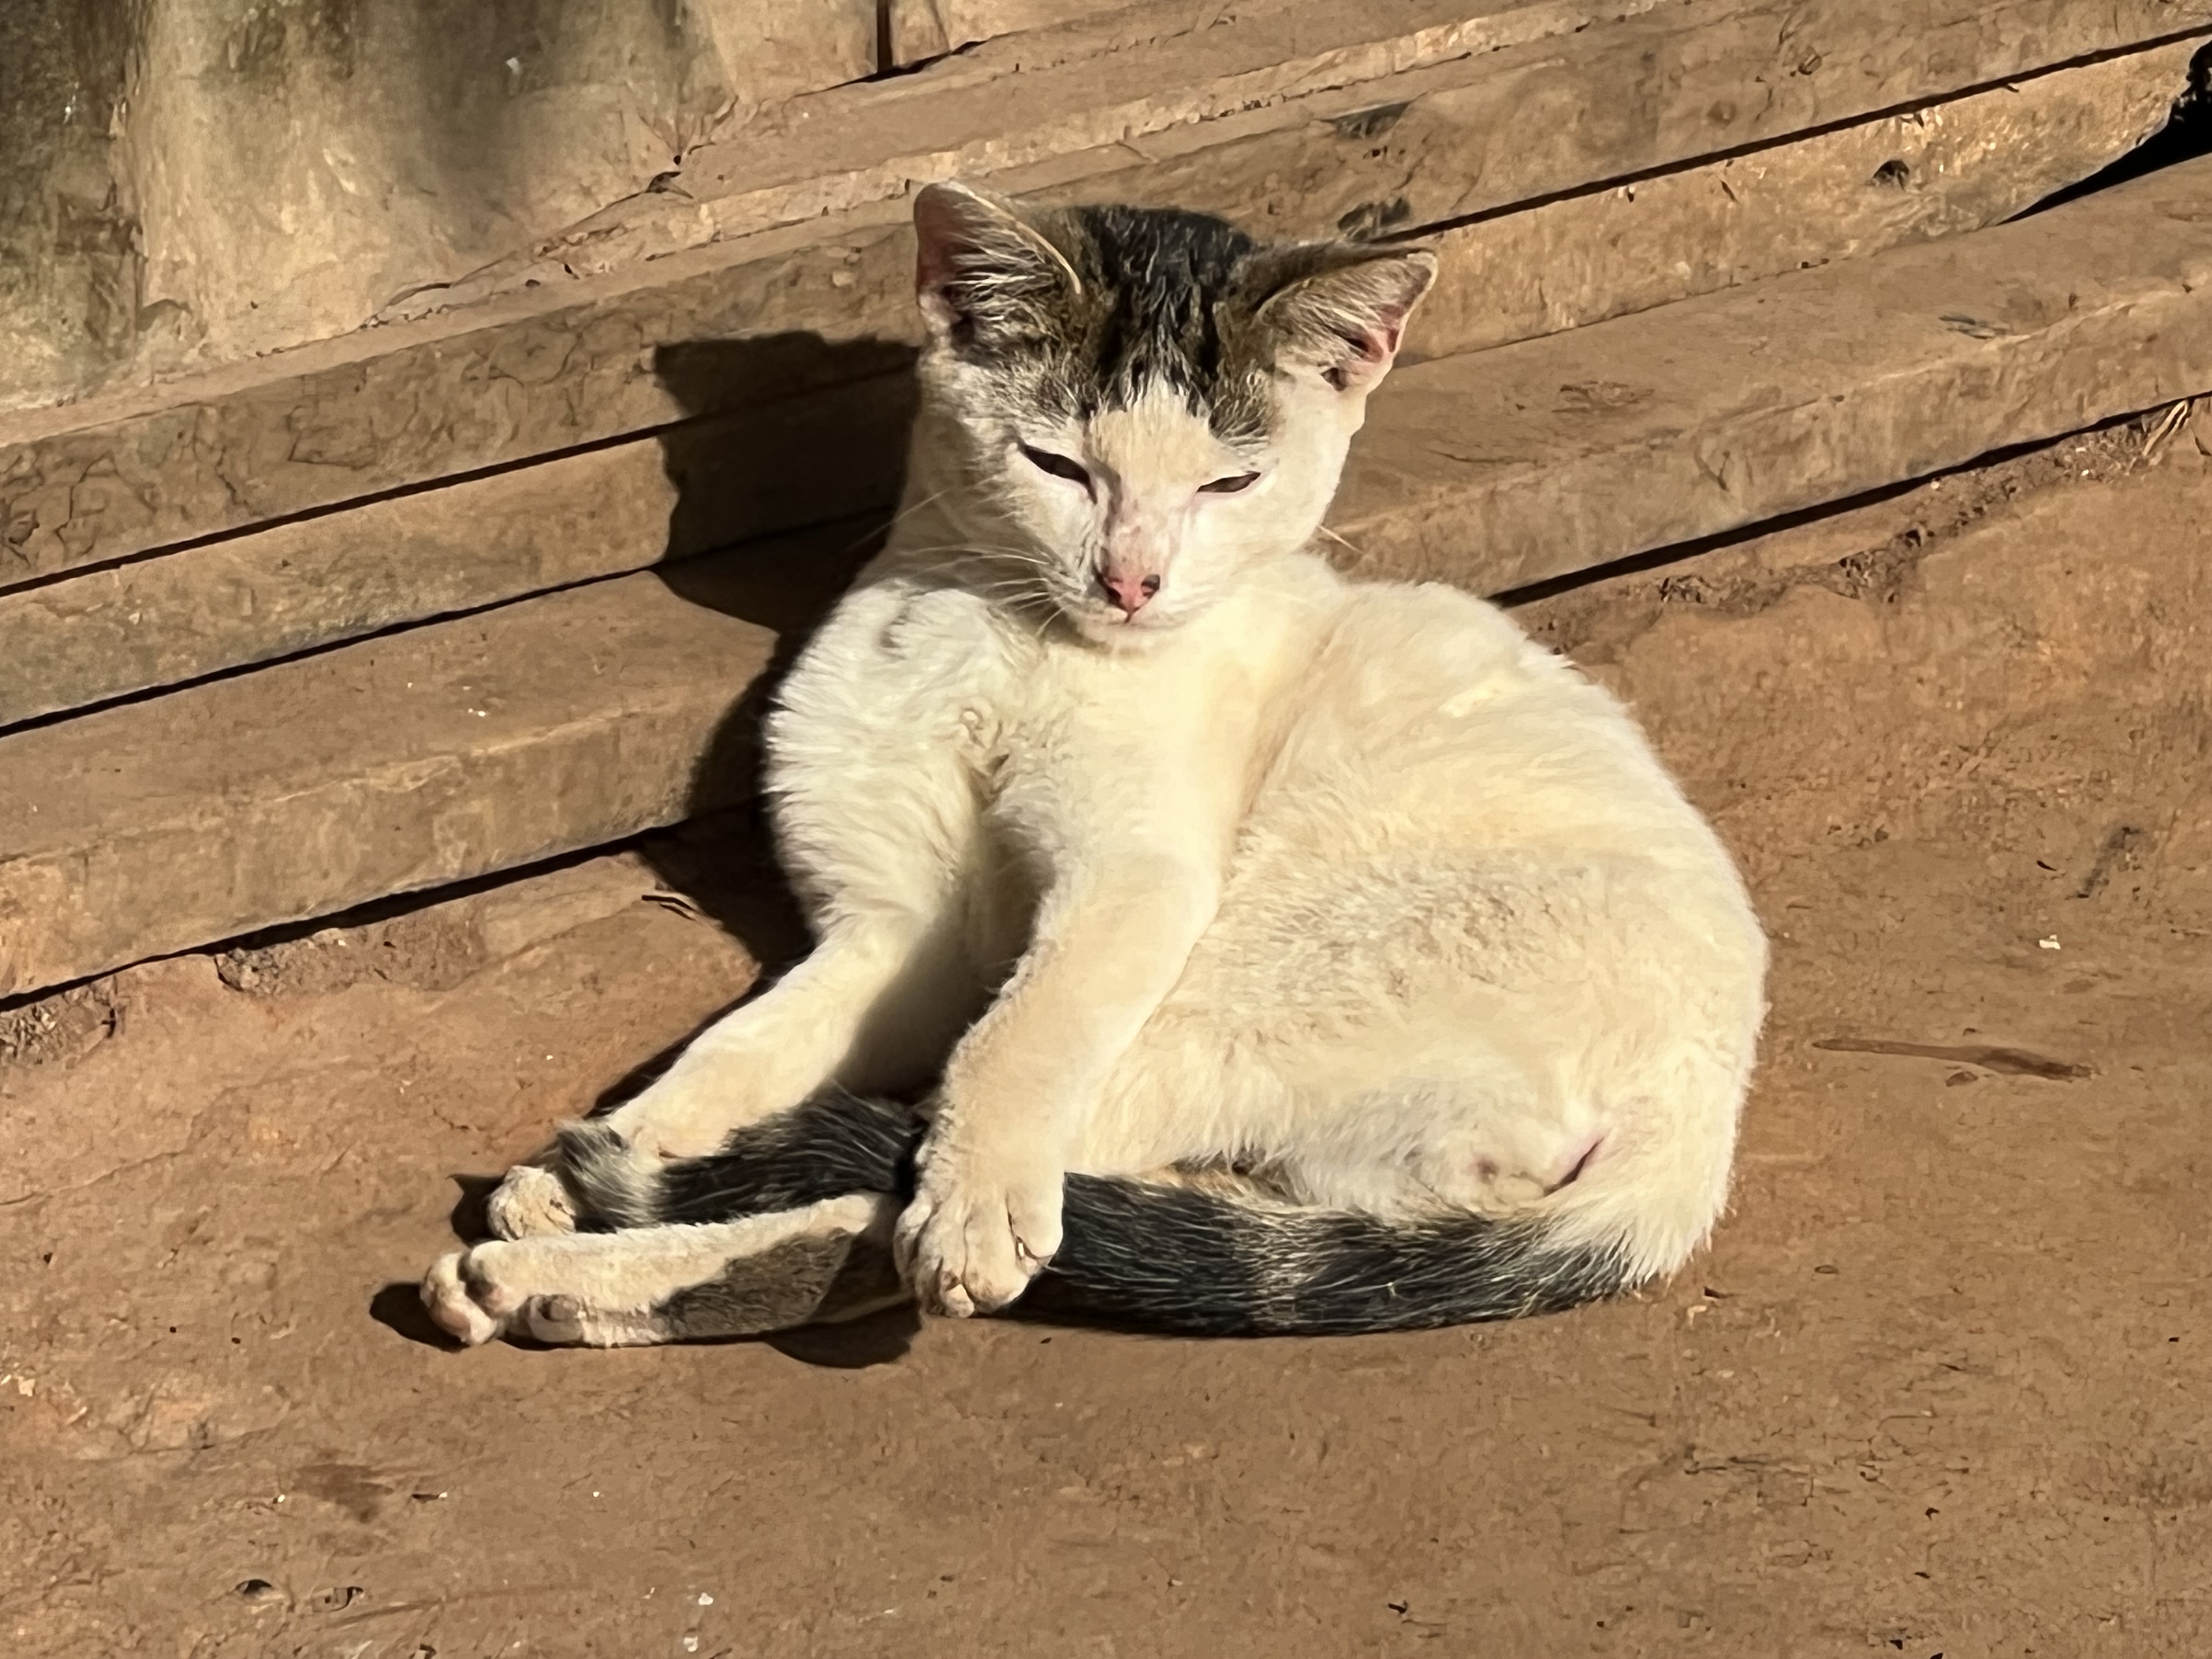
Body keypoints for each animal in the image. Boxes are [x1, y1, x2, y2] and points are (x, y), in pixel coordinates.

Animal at [421, 181, 1767, 1346]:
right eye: (1058, 466)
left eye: (1232, 482)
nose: (1131, 580)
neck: (999, 635)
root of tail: (1697, 1134)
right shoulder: (899, 934)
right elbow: (742, 1046)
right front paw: (648, 1126)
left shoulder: (1135, 879)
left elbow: (1012, 1040)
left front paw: (963, 1201)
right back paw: (586, 1223)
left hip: (1243, 976)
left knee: (917, 1186)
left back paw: (567, 1267)